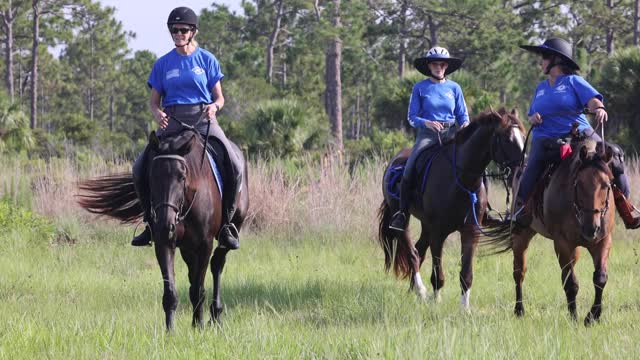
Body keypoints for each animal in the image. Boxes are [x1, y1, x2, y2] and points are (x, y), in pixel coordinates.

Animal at [79, 130, 249, 330]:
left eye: (182, 176)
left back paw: (215, 314)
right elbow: (171, 292)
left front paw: (198, 326)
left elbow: (199, 288)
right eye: (152, 176)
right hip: (187, 248)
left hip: (228, 231)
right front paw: (170, 330)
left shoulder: (204, 245)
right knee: (194, 272)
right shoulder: (164, 243)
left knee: (217, 264)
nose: (165, 224)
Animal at [378, 109, 524, 310]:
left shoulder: (470, 231)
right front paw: (436, 302)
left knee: (419, 251)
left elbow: (466, 274)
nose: (522, 169)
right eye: (508, 139)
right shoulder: (438, 233)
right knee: (412, 254)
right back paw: (421, 290)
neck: (461, 180)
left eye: (523, 137)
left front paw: (465, 309)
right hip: (401, 218)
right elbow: (437, 273)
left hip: (426, 225)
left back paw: (413, 291)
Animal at [488, 141, 616, 326]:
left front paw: (593, 316)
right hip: (521, 236)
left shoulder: (602, 240)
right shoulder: (562, 244)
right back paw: (519, 310)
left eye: (606, 185)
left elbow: (600, 278)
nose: (590, 228)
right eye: (579, 184)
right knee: (519, 272)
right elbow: (570, 283)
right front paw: (573, 317)